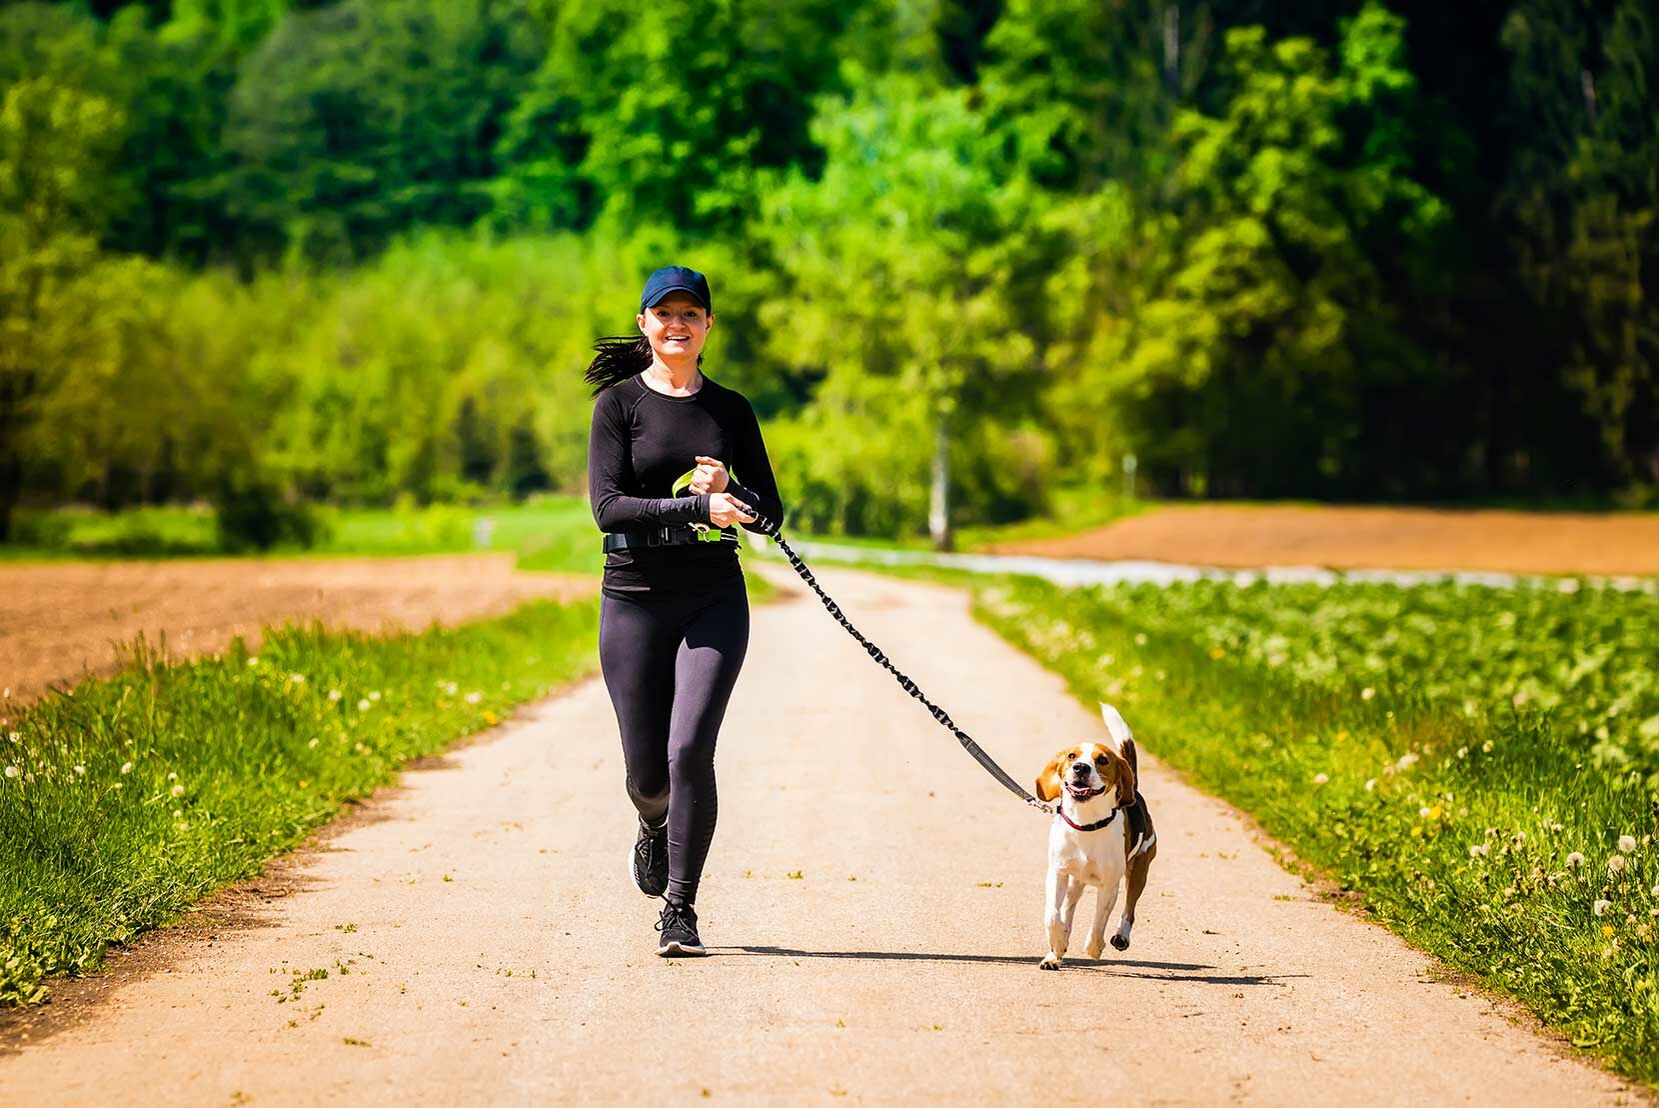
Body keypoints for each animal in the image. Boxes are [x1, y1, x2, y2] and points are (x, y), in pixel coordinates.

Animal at [1035, 699, 1154, 968]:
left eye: (1102, 760)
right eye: (1072, 756)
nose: (1080, 767)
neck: (1086, 824)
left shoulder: (1110, 884)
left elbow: (1099, 921)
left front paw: (1094, 947)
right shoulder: (1057, 872)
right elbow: (1053, 915)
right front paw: (1056, 944)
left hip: (1139, 869)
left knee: (1129, 909)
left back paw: (1121, 936)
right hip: (1074, 880)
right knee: (1067, 909)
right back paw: (1056, 952)